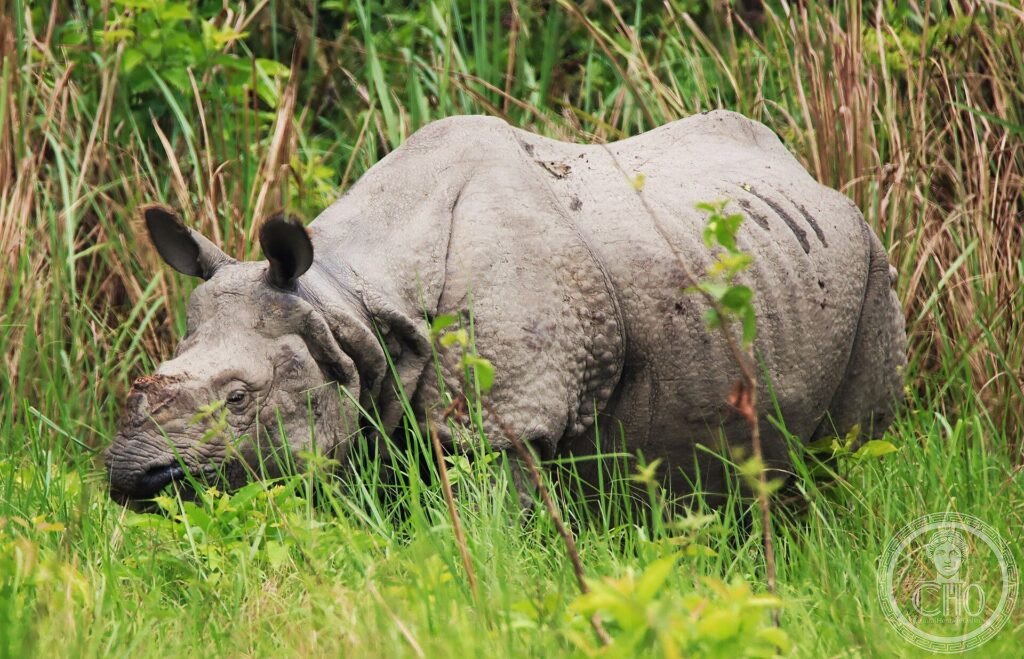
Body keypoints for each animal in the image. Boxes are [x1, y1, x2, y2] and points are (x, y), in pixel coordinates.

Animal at [106, 111, 906, 508]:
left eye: (240, 397)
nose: (132, 476)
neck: (346, 296)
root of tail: (810, 174)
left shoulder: (507, 419)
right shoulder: (357, 390)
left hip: (871, 259)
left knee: (851, 448)